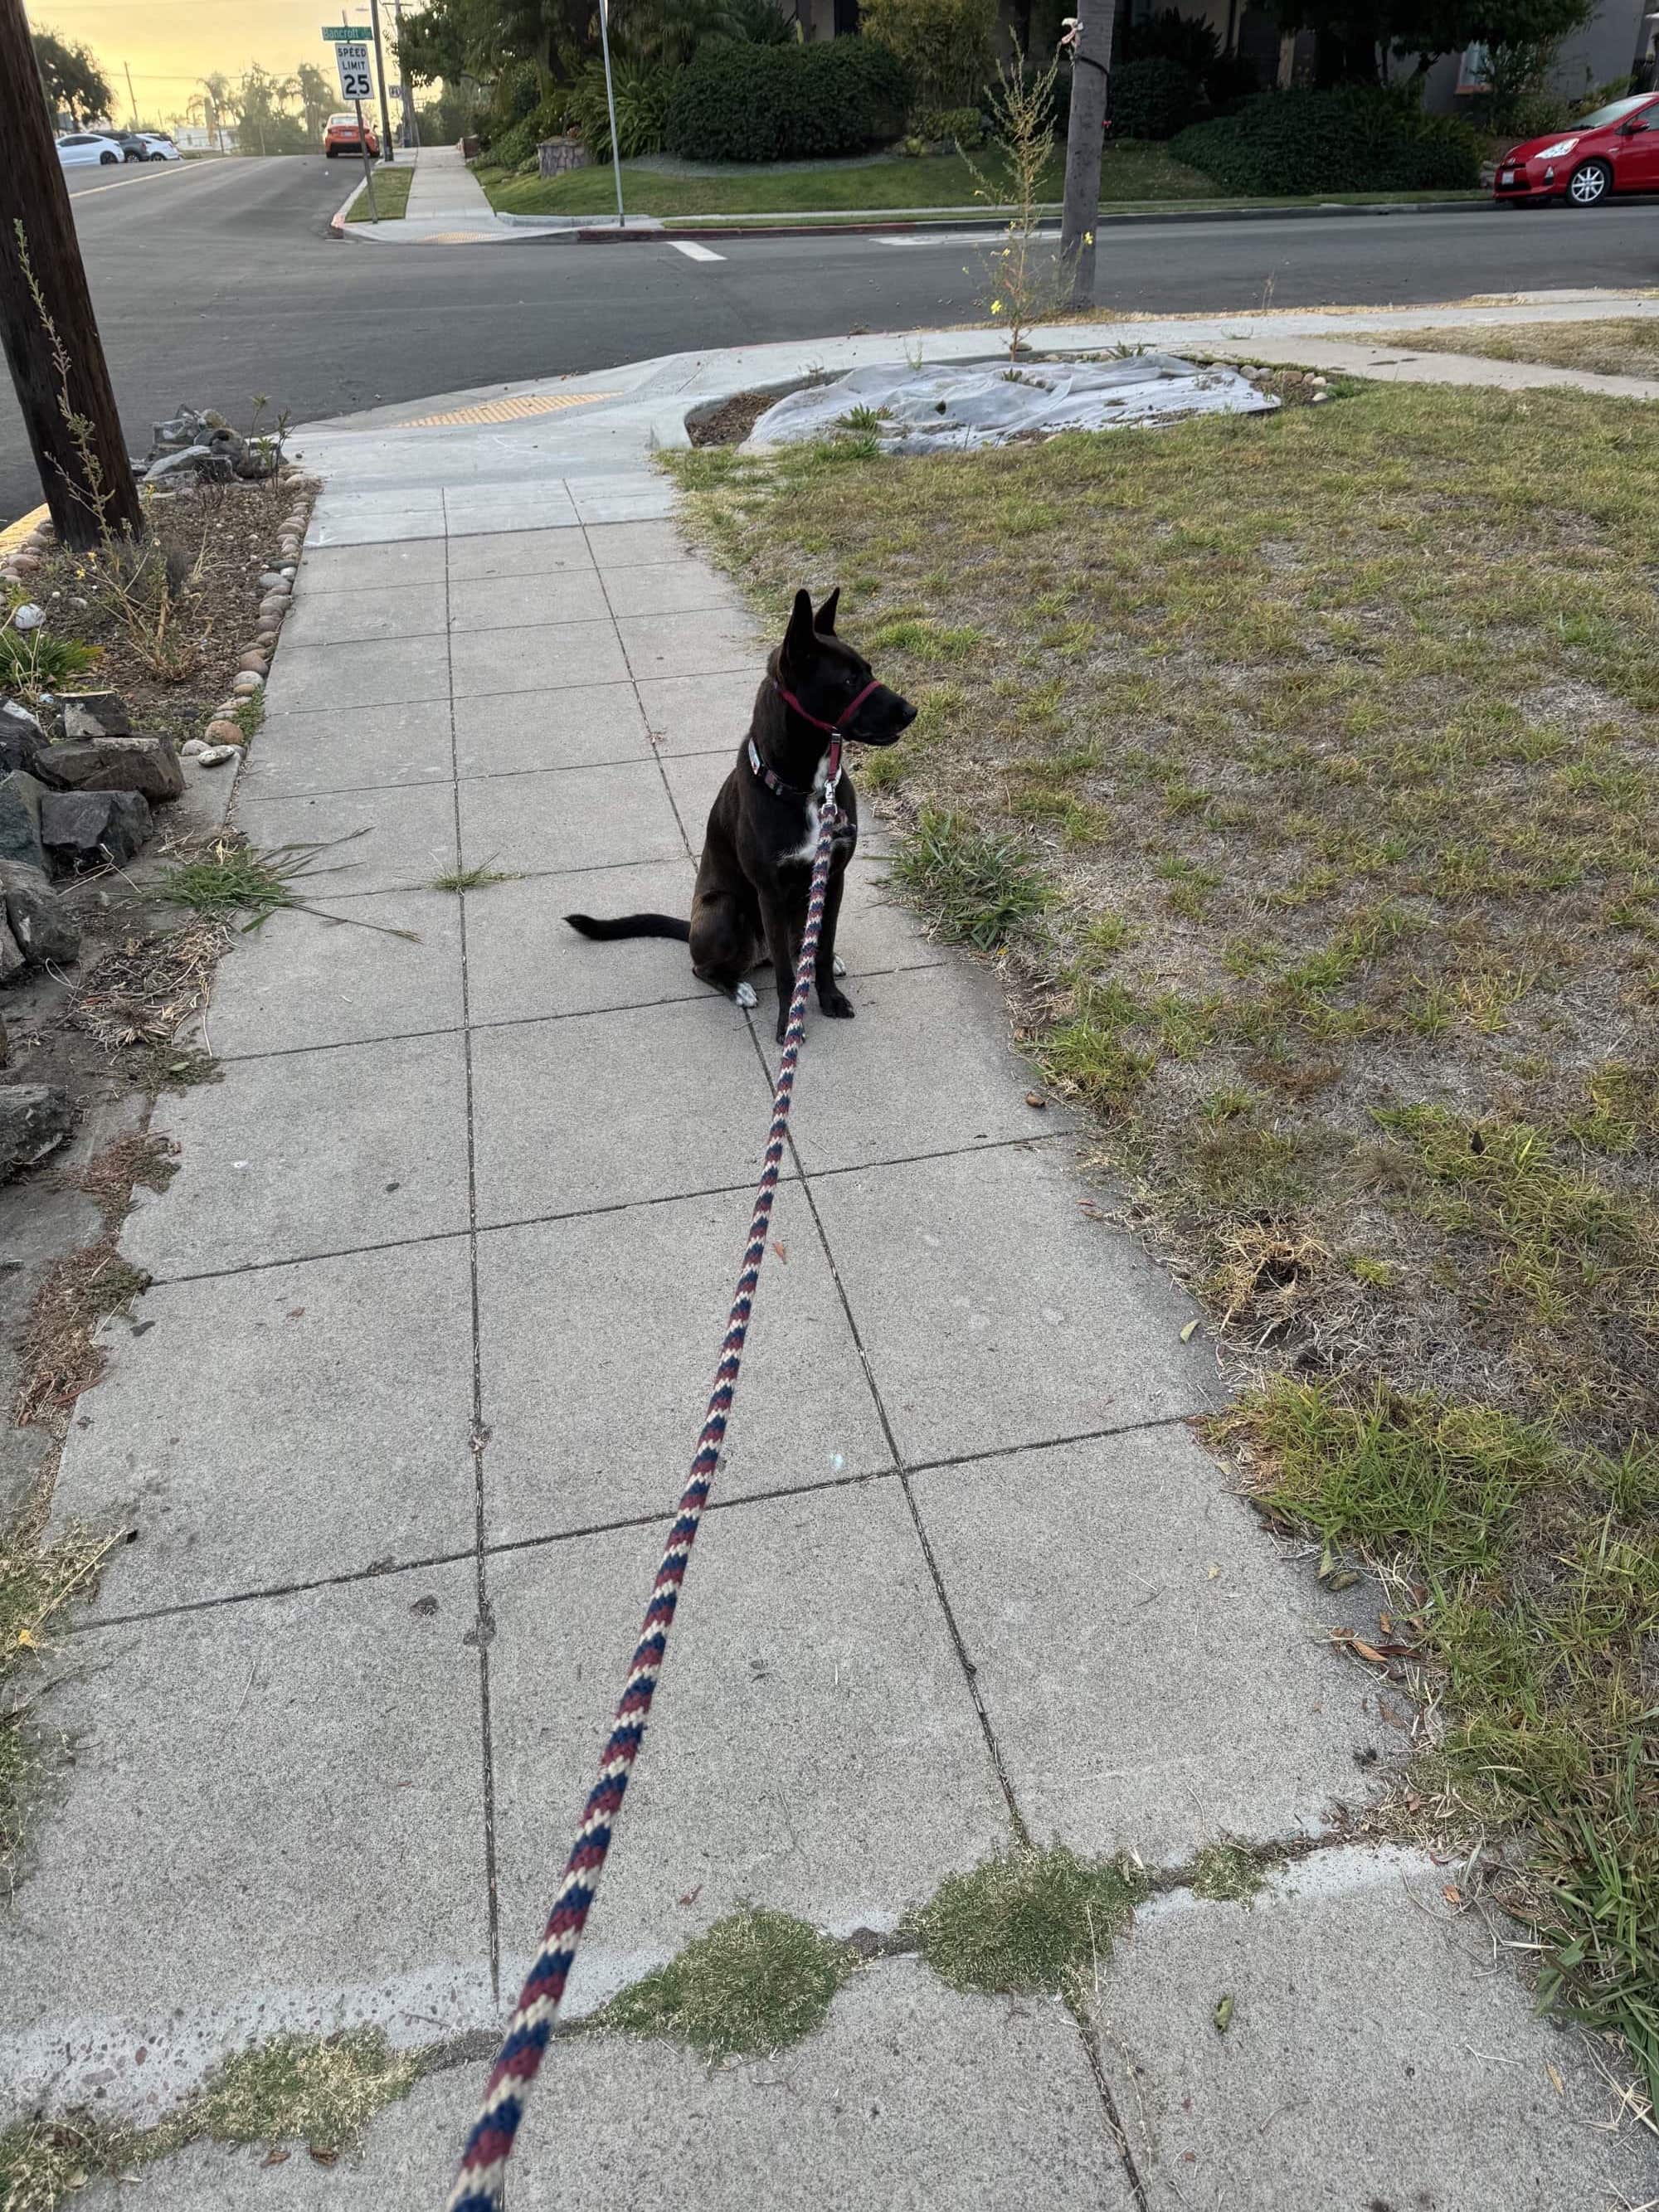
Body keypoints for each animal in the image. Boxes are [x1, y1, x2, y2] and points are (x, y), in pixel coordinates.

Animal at [566, 584, 916, 1039]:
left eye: (869, 670)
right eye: (848, 680)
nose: (911, 711)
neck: (807, 788)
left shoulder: (833, 878)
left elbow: (821, 950)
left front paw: (830, 997)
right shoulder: (769, 892)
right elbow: (786, 974)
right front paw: (788, 1022)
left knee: (804, 946)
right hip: (724, 910)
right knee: (705, 967)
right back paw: (737, 987)